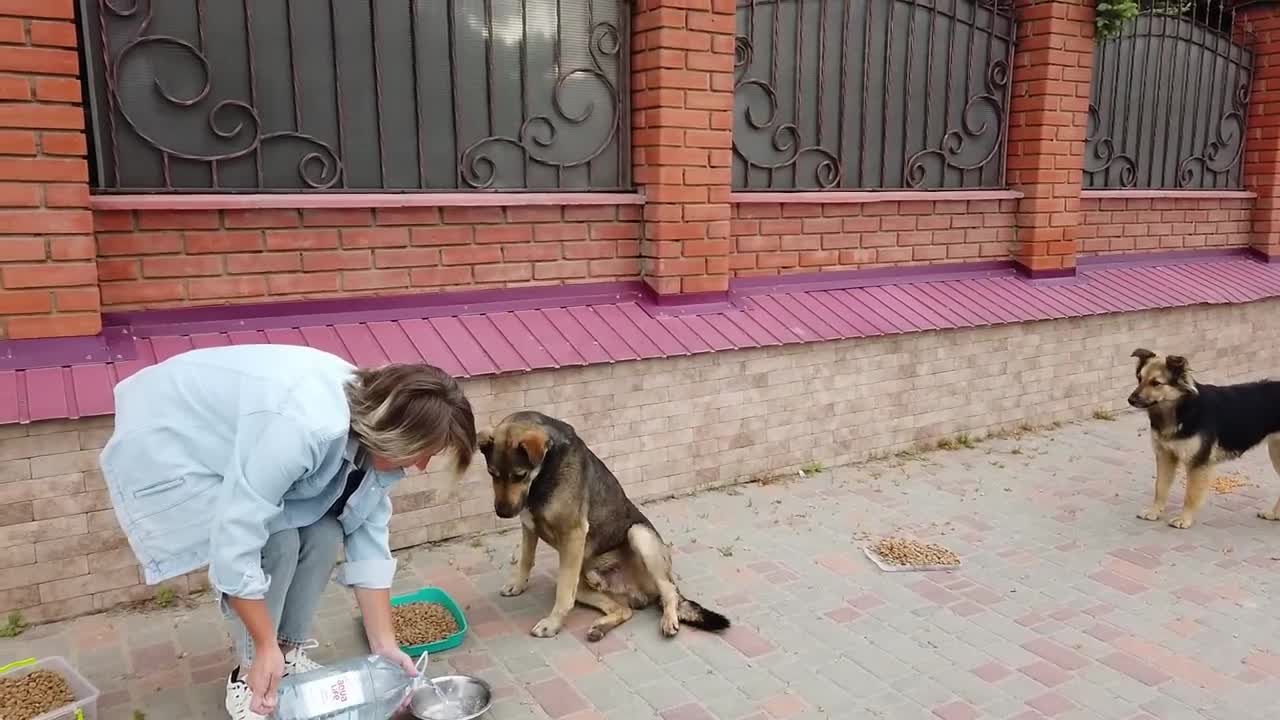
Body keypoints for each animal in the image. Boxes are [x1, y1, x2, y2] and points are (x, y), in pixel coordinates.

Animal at [476, 409, 732, 638]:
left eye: (520, 475)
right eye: (492, 473)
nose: (502, 513)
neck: (544, 471)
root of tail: (639, 594)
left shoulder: (574, 533)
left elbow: (562, 595)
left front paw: (552, 623)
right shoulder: (529, 525)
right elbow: (526, 560)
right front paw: (518, 585)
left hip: (639, 534)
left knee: (670, 592)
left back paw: (669, 619)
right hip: (586, 587)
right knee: (624, 610)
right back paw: (599, 623)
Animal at [1126, 348, 1280, 527]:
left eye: (1156, 383)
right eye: (1139, 378)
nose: (1130, 400)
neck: (1181, 410)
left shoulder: (1198, 462)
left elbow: (1190, 495)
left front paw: (1184, 519)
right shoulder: (1165, 456)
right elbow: (1160, 487)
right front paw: (1154, 512)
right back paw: (1274, 514)